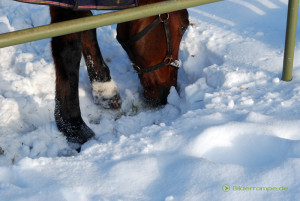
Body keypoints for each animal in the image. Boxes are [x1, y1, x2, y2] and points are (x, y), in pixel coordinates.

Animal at [17, 0, 188, 148]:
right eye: (183, 26)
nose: (170, 90)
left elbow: (87, 23)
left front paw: (104, 88)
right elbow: (69, 49)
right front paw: (74, 126)